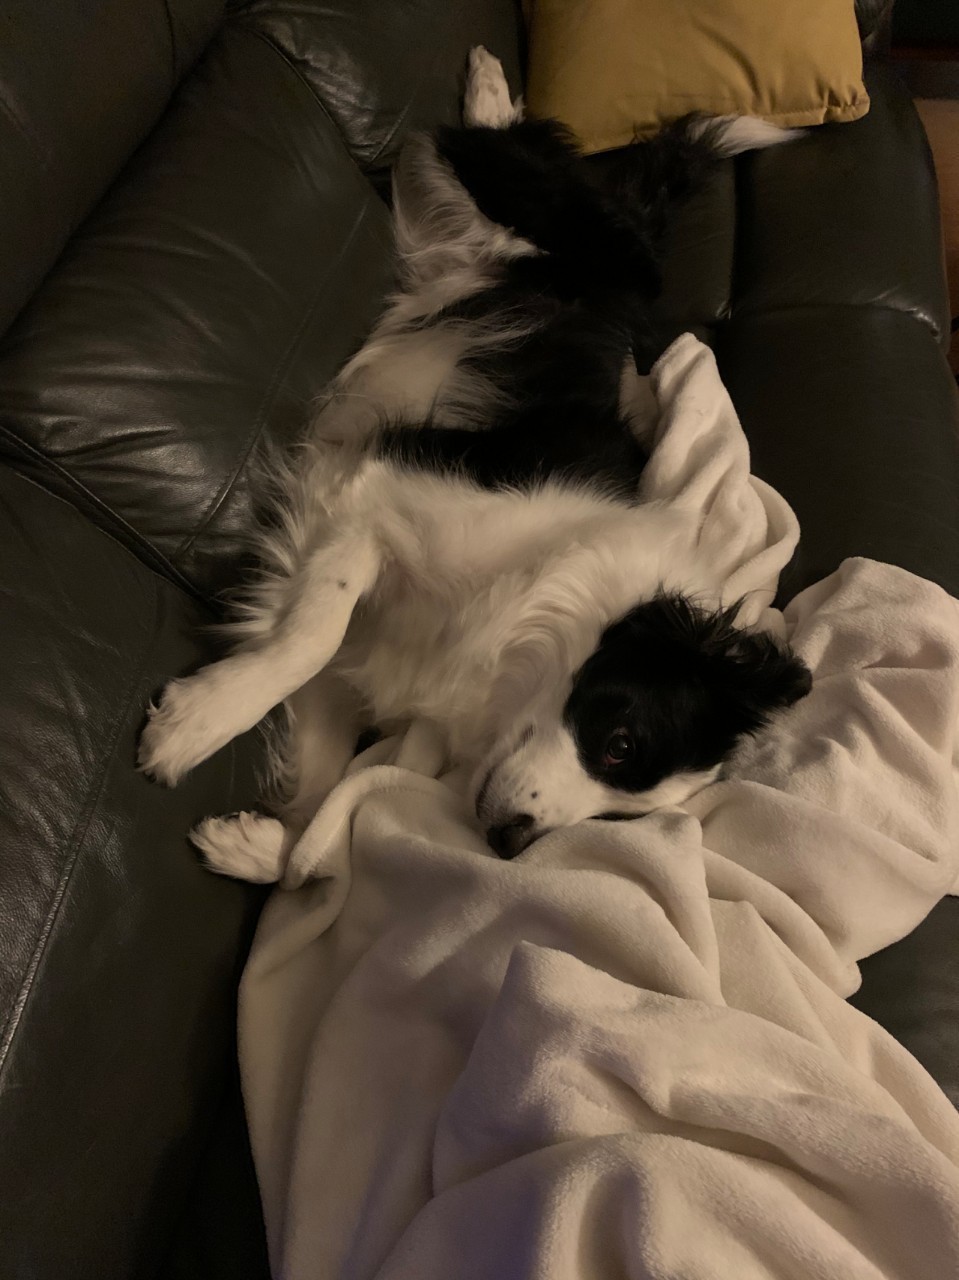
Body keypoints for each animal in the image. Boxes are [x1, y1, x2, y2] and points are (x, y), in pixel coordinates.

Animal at [138, 48, 811, 878]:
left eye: (620, 818)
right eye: (620, 746)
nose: (510, 845)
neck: (531, 614)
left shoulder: (361, 655)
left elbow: (326, 803)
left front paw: (256, 844)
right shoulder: (375, 495)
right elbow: (307, 640)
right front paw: (195, 725)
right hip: (539, 203)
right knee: (498, 146)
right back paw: (491, 89)